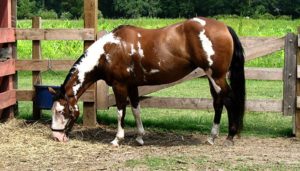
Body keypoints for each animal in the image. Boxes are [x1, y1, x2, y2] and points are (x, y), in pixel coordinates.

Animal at [49, 16, 245, 146]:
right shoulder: (133, 86)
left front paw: (117, 139)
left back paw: (229, 137)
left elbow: (121, 112)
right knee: (218, 102)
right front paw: (140, 137)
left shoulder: (120, 86)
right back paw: (212, 137)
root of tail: (224, 26)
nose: (56, 137)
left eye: (60, 111)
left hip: (217, 76)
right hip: (213, 77)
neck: (108, 51)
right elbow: (136, 110)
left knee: (228, 100)